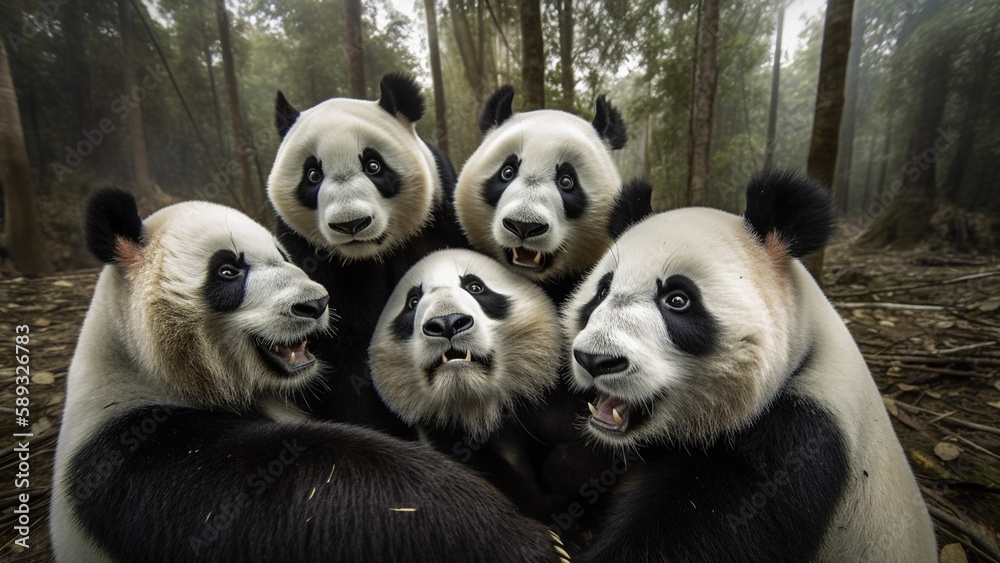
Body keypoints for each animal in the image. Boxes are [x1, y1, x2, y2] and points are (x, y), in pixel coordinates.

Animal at [51, 189, 568, 563]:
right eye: (227, 270)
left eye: (284, 256)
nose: (314, 304)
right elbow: (321, 482)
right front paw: (520, 540)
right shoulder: (140, 455)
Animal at [267, 73, 466, 436]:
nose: (351, 224)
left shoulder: (436, 222)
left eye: (373, 165)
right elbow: (345, 343)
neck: (372, 252)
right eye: (312, 175)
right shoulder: (314, 256)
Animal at [562, 170, 936, 562]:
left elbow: (707, 530)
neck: (805, 354)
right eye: (601, 291)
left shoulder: (803, 439)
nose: (595, 360)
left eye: (677, 300)